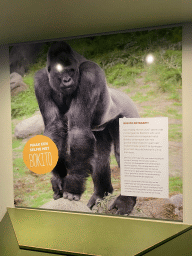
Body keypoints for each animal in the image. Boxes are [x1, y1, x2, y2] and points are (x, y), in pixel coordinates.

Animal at [35, 41, 140, 214]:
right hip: (101, 129)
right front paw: (58, 179)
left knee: (122, 153)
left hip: (128, 112)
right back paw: (100, 194)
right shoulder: (40, 82)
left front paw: (73, 185)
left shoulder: (90, 74)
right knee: (99, 156)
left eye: (71, 70)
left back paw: (125, 201)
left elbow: (78, 130)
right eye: (60, 72)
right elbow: (54, 127)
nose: (67, 80)